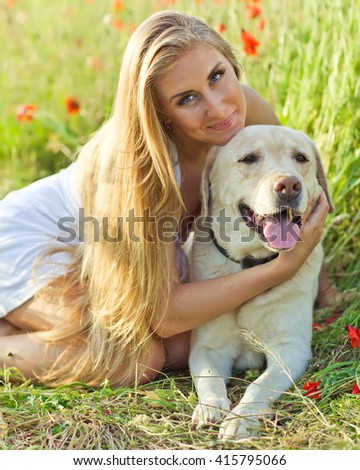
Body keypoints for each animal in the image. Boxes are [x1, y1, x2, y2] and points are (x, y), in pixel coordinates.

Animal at [190, 125, 334, 440]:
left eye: (301, 158)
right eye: (249, 158)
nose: (289, 185)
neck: (251, 264)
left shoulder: (289, 348)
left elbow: (259, 386)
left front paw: (241, 419)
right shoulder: (207, 348)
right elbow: (208, 379)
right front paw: (211, 407)